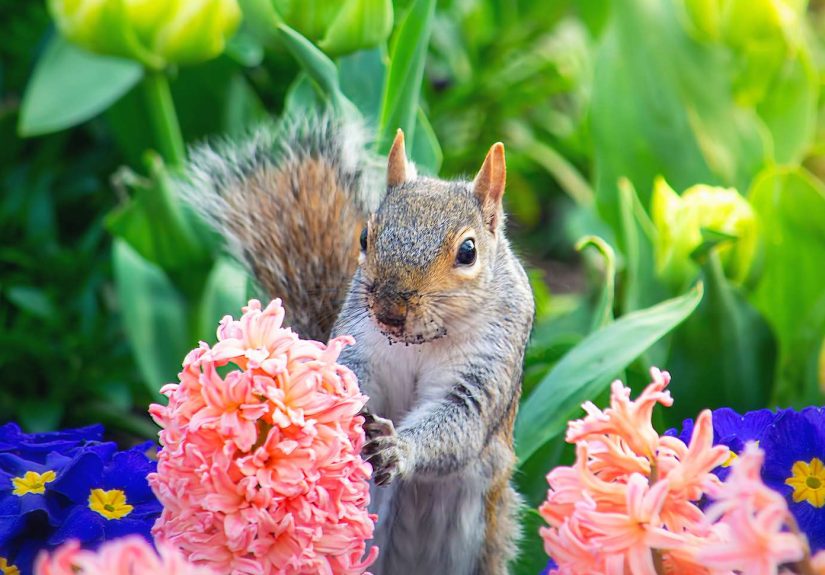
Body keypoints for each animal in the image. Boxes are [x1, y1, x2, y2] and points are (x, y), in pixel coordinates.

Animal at [181, 112, 535, 575]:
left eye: (468, 251)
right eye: (365, 237)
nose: (389, 309)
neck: (420, 340)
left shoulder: (488, 361)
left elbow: (461, 420)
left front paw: (398, 448)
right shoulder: (359, 343)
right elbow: (350, 381)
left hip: (483, 531)